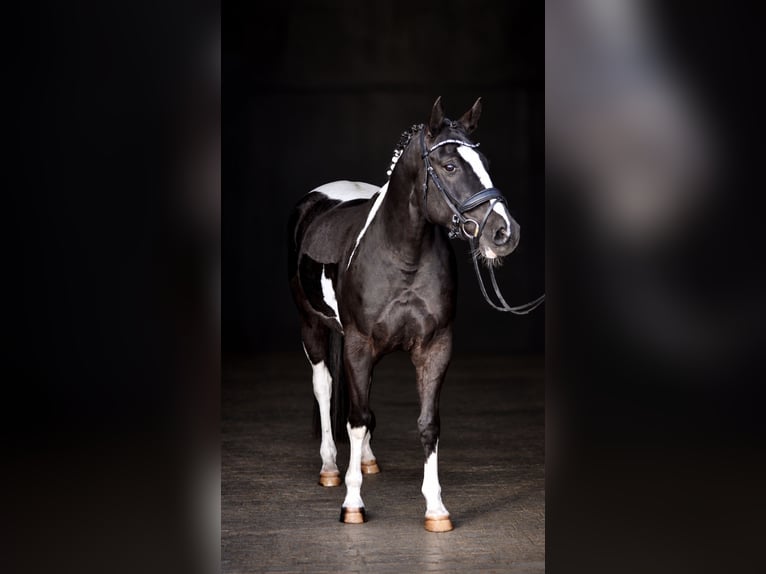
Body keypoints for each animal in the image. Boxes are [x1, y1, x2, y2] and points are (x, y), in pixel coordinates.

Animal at [287, 97, 528, 532]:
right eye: (449, 166)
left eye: (485, 161)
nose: (504, 233)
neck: (403, 255)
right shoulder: (358, 344)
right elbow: (355, 418)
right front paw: (352, 504)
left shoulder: (435, 346)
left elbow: (427, 423)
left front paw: (436, 508)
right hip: (312, 327)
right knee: (325, 388)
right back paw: (330, 467)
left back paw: (367, 460)